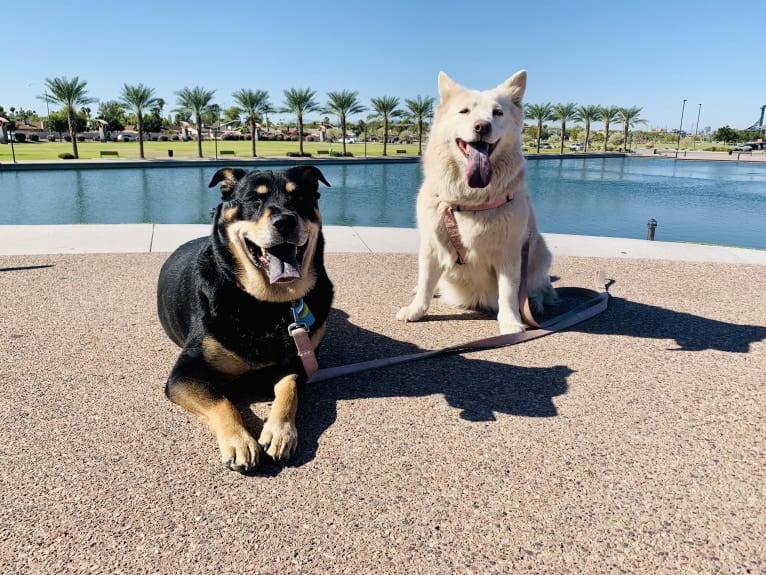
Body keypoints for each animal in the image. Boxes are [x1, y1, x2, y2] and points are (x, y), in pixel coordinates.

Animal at [158, 165, 332, 472]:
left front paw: (280, 432)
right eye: (254, 199)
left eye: (300, 197)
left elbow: (288, 390)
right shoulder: (183, 374)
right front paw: (239, 442)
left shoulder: (300, 360)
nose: (285, 221)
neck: (267, 304)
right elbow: (221, 401)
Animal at [396, 70, 560, 336]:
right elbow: (425, 282)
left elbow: (509, 293)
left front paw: (511, 323)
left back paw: (535, 303)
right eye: (464, 111)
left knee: (542, 288)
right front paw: (416, 310)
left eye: (498, 112)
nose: (482, 126)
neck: (469, 201)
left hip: (540, 252)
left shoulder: (509, 253)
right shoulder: (431, 245)